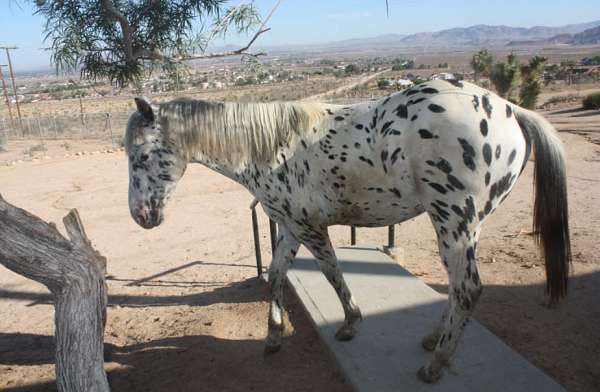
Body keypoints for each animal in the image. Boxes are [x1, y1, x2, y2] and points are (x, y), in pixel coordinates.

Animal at [124, 79, 568, 382]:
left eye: (141, 156)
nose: (141, 216)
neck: (268, 147)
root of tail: (510, 110)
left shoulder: (310, 227)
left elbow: (332, 272)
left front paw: (351, 323)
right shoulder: (288, 225)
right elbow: (276, 275)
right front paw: (274, 336)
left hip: (453, 221)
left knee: (467, 288)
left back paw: (435, 365)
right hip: (465, 227)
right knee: (458, 288)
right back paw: (432, 341)